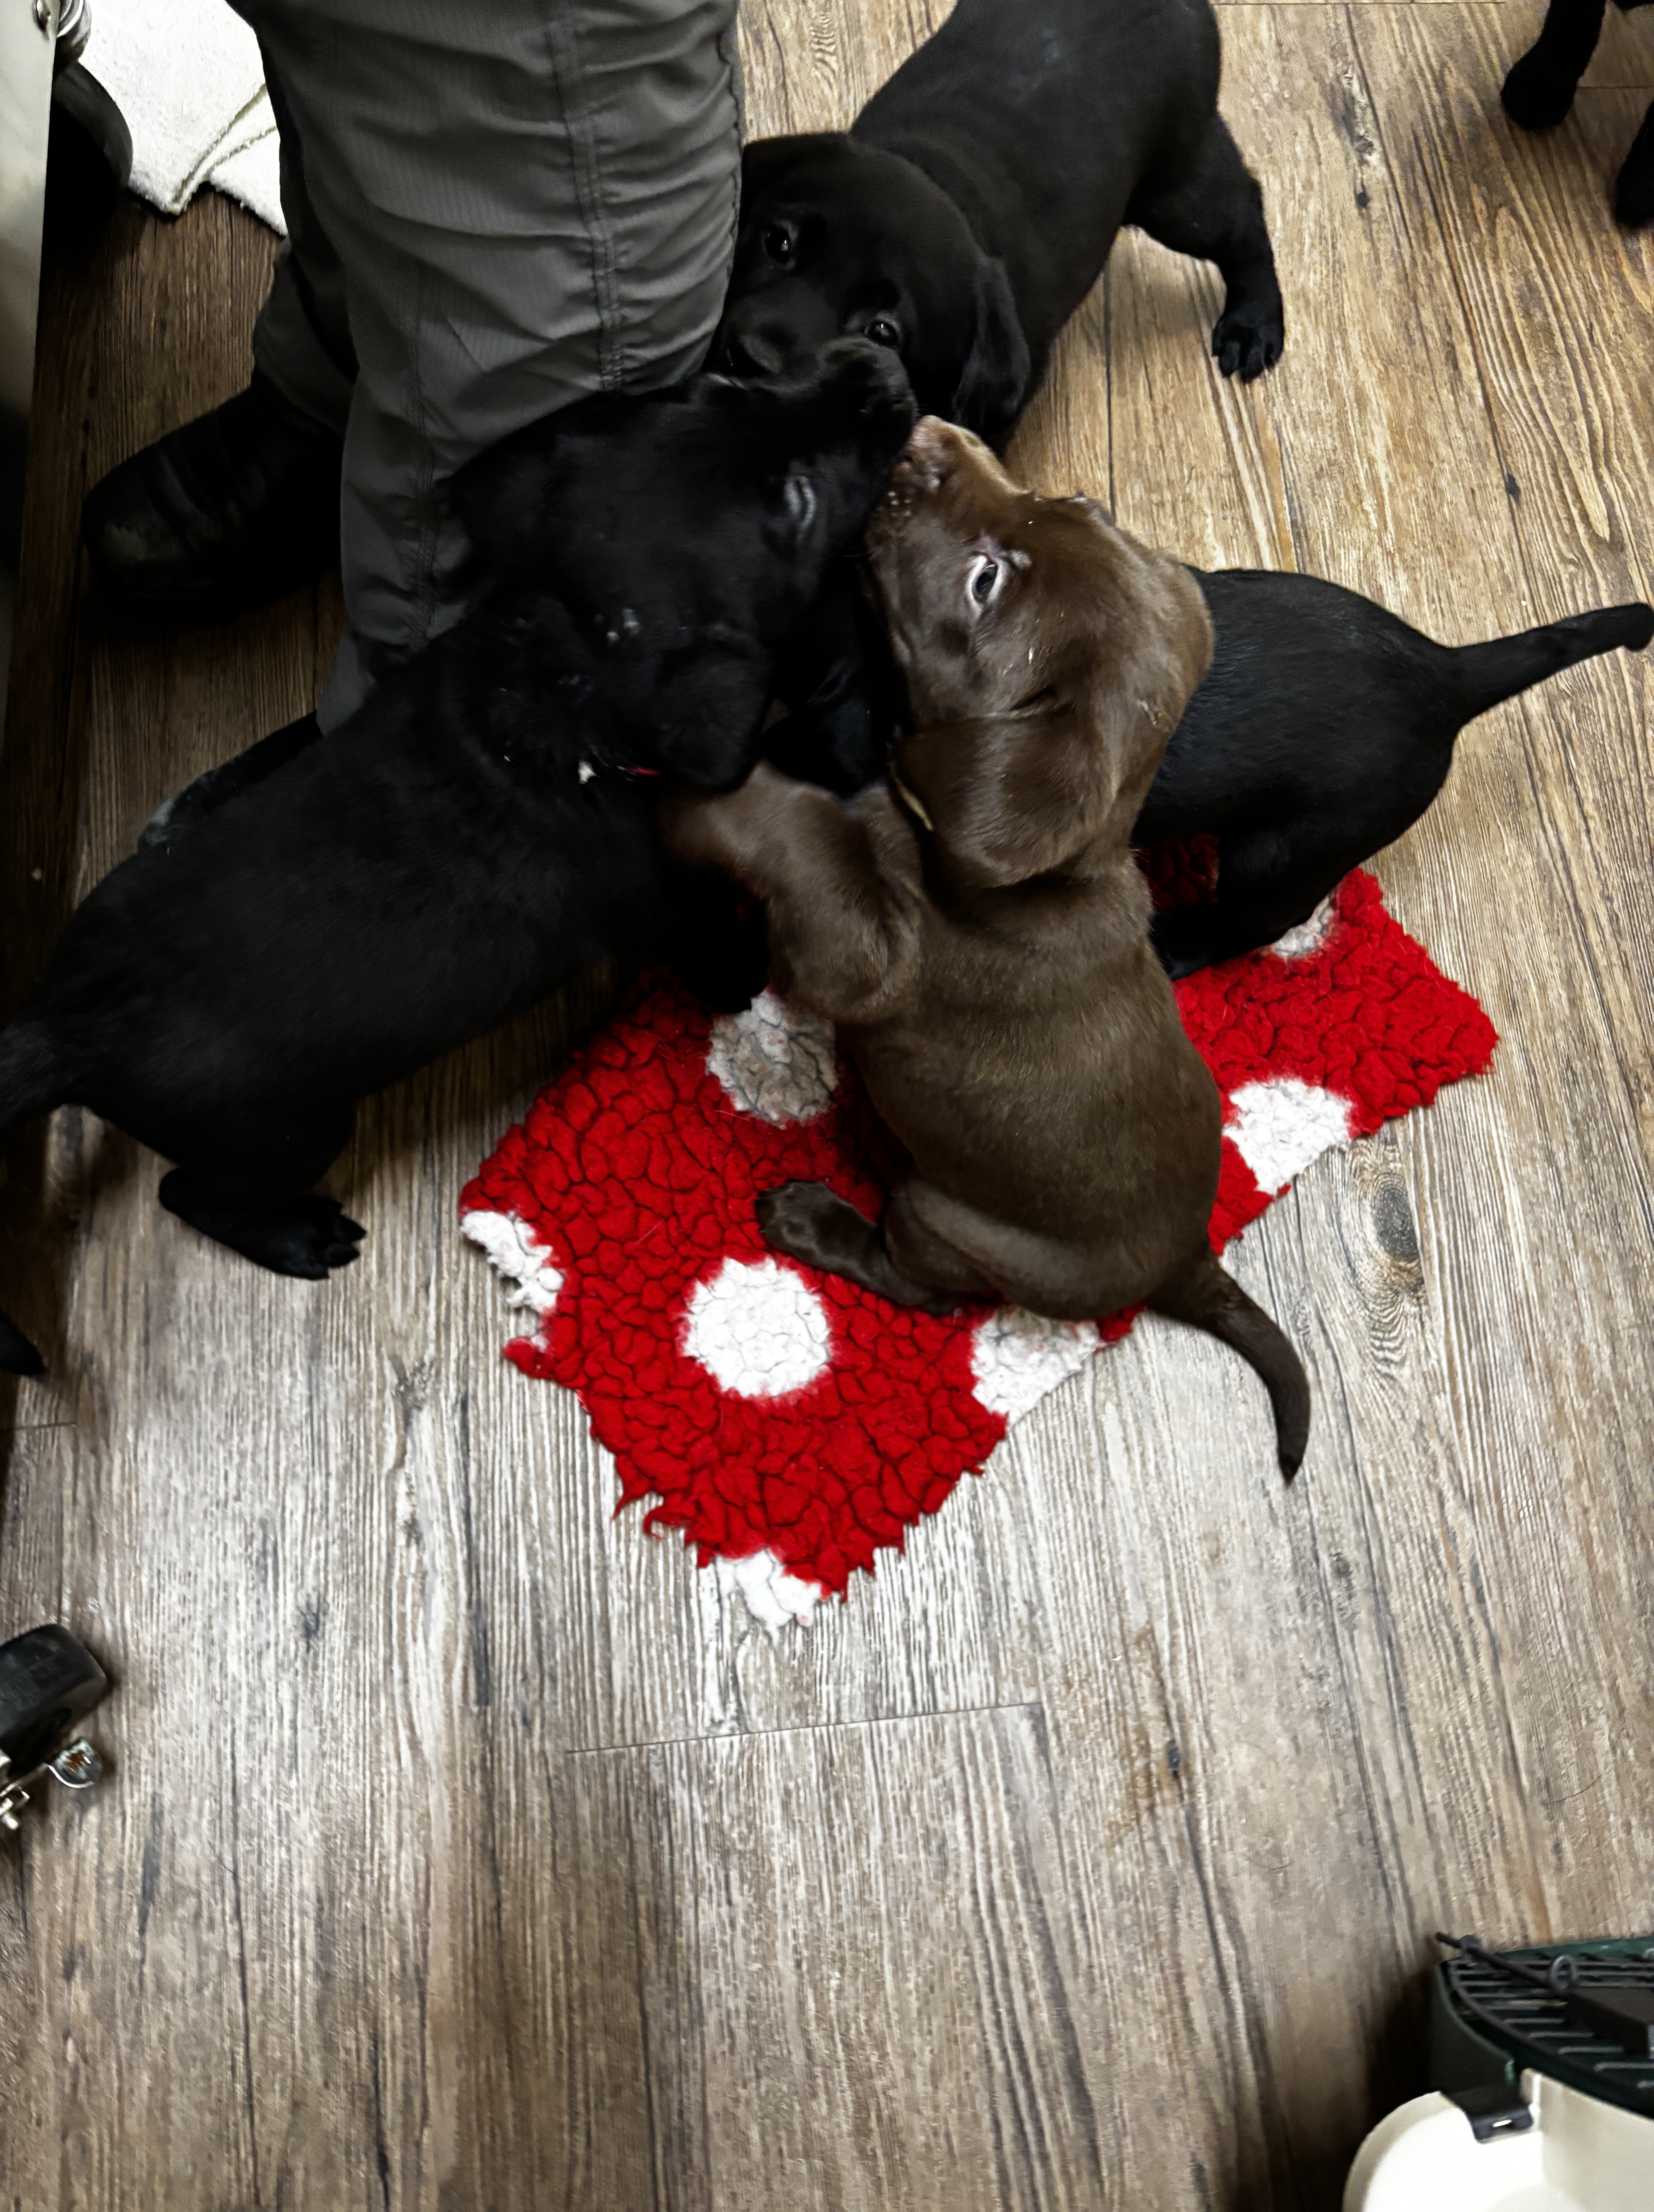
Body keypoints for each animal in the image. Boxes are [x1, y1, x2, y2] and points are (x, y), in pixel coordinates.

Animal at [0, 343, 915, 1375]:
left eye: (729, 388)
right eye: (798, 502)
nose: (876, 361)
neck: (561, 684)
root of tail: (63, 1023)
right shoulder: (676, 911)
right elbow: (729, 928)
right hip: (289, 1126)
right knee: (188, 1194)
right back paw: (298, 1237)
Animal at [666, 418, 1312, 1478]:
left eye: (986, 583)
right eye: (1064, 502)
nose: (927, 439)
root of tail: (1188, 1260)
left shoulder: (863, 955)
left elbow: (803, 833)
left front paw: (715, 782)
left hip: (947, 1218)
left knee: (920, 1286)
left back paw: (813, 1216)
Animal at [717, 0, 1285, 443]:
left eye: (883, 333)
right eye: (777, 242)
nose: (748, 358)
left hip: (1176, 193)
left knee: (1245, 215)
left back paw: (1254, 322)